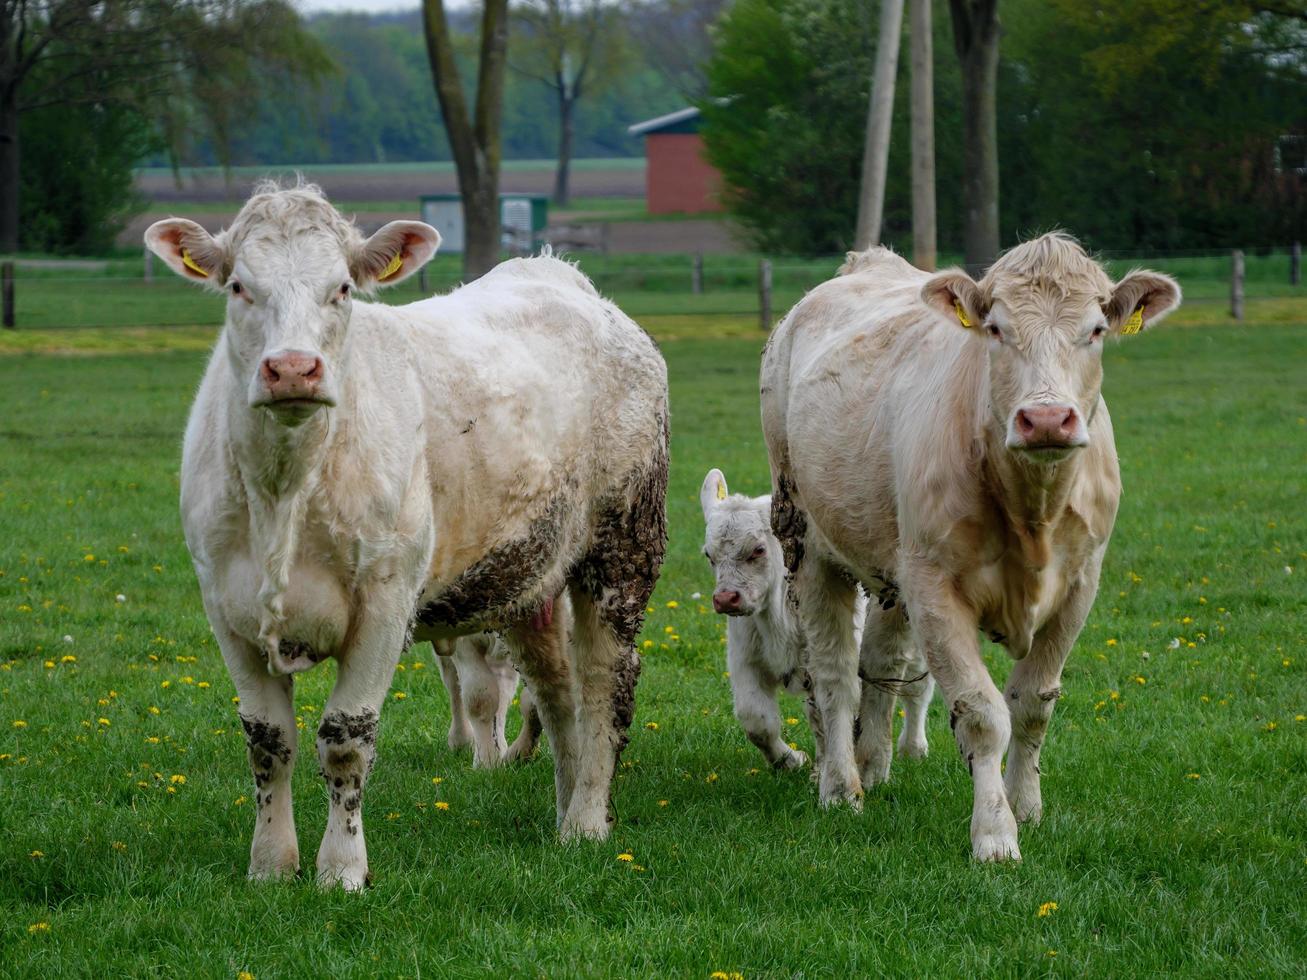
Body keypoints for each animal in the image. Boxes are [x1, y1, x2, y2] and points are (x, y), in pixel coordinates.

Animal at [148, 180, 669, 893]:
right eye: (238, 287)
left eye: (341, 288)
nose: (293, 369)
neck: (287, 487)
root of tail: (565, 279)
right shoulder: (226, 606)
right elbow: (267, 739)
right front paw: (271, 865)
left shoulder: (386, 599)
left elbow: (345, 738)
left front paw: (341, 869)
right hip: (530, 571)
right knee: (556, 690)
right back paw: (567, 819)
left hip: (621, 548)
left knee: (601, 685)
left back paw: (589, 819)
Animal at [700, 470, 935, 773]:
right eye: (709, 555)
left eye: (758, 550)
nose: (726, 599)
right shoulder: (745, 659)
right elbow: (757, 720)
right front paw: (791, 761)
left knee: (917, 688)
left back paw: (913, 747)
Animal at [763, 233, 1181, 862]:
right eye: (996, 329)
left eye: (1096, 330)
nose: (1046, 419)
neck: (1033, 508)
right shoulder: (935, 586)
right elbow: (983, 715)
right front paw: (995, 834)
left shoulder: (1081, 585)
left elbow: (1032, 704)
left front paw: (1027, 807)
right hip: (807, 542)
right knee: (834, 673)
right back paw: (841, 786)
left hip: (890, 565)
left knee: (878, 662)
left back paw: (874, 765)